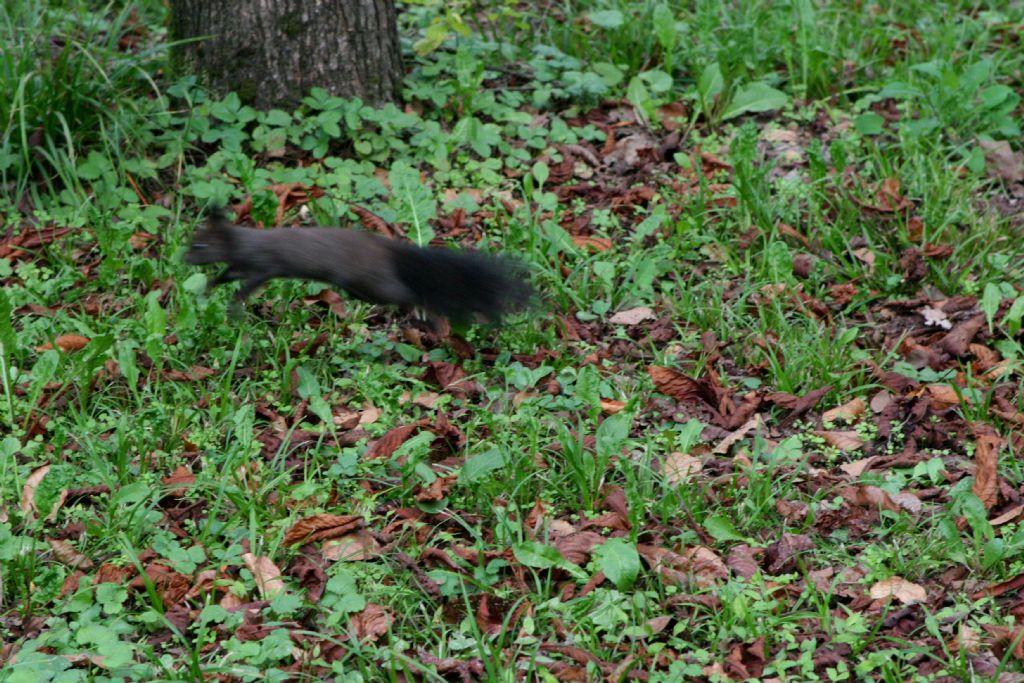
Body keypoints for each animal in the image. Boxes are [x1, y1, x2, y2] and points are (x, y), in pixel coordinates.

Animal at [186, 206, 536, 325]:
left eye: (200, 246)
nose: (184, 259)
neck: (243, 242)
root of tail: (388, 250)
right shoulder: (240, 264)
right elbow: (227, 275)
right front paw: (210, 287)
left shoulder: (263, 264)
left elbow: (249, 283)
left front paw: (235, 303)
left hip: (374, 284)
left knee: (406, 293)